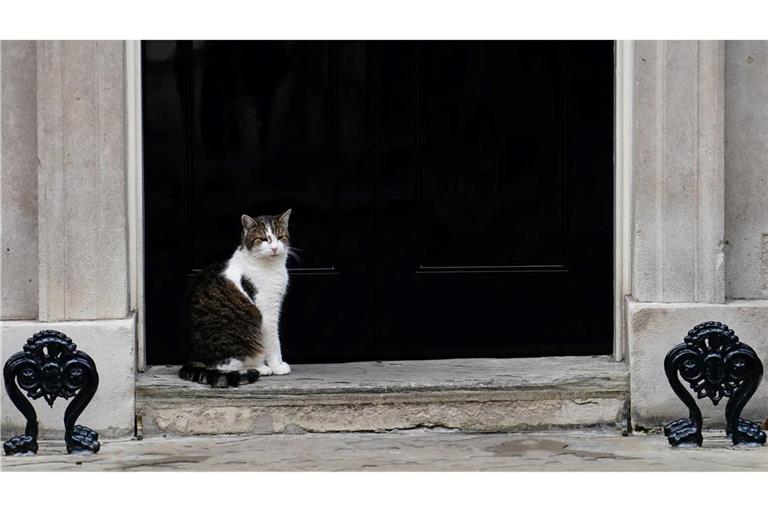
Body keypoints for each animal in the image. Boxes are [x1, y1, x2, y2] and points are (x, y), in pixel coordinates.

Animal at [178, 210, 292, 386]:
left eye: (280, 237)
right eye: (263, 239)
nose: (274, 248)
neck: (271, 267)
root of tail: (194, 357)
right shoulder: (267, 312)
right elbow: (274, 342)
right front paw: (277, 366)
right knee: (224, 365)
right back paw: (259, 368)